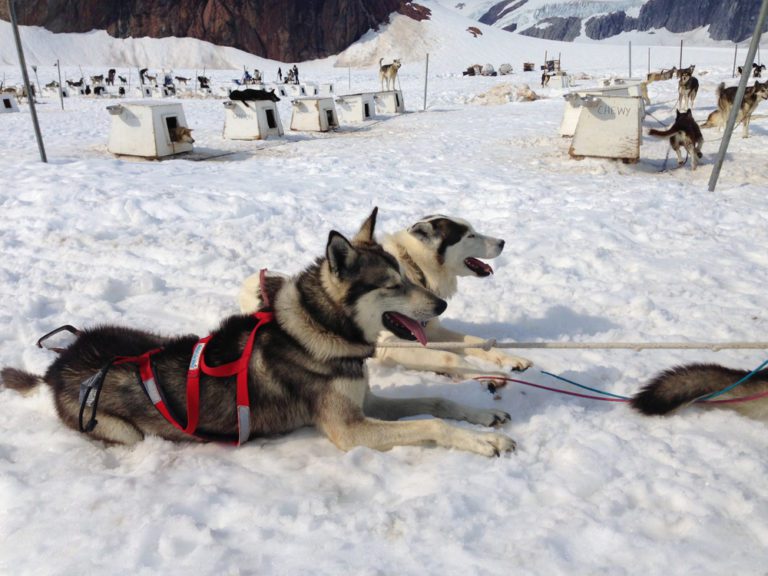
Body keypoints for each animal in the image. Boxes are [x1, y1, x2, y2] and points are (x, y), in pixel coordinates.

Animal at [243, 215, 532, 378]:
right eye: (470, 235)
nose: (503, 242)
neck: (416, 266)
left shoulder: (429, 330)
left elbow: (476, 342)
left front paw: (510, 358)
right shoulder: (390, 345)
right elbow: (450, 357)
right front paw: (485, 376)